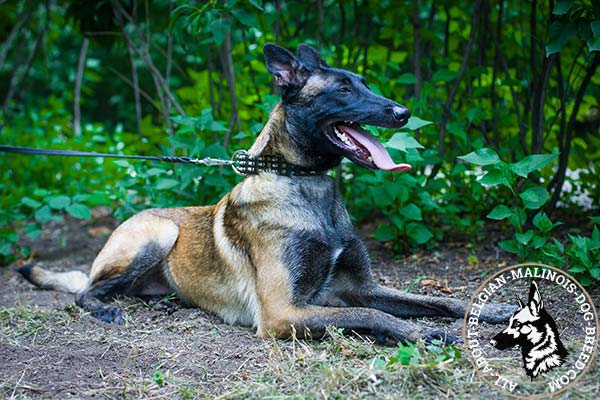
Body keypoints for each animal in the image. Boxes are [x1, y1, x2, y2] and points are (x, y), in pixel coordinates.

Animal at [19, 43, 516, 344]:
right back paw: (105, 310)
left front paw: (493, 308)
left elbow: (439, 300)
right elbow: (378, 317)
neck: (305, 187)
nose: (403, 112)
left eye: (365, 83)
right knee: (85, 291)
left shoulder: (362, 288)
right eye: (343, 89)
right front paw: (429, 334)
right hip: (158, 234)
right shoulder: (283, 312)